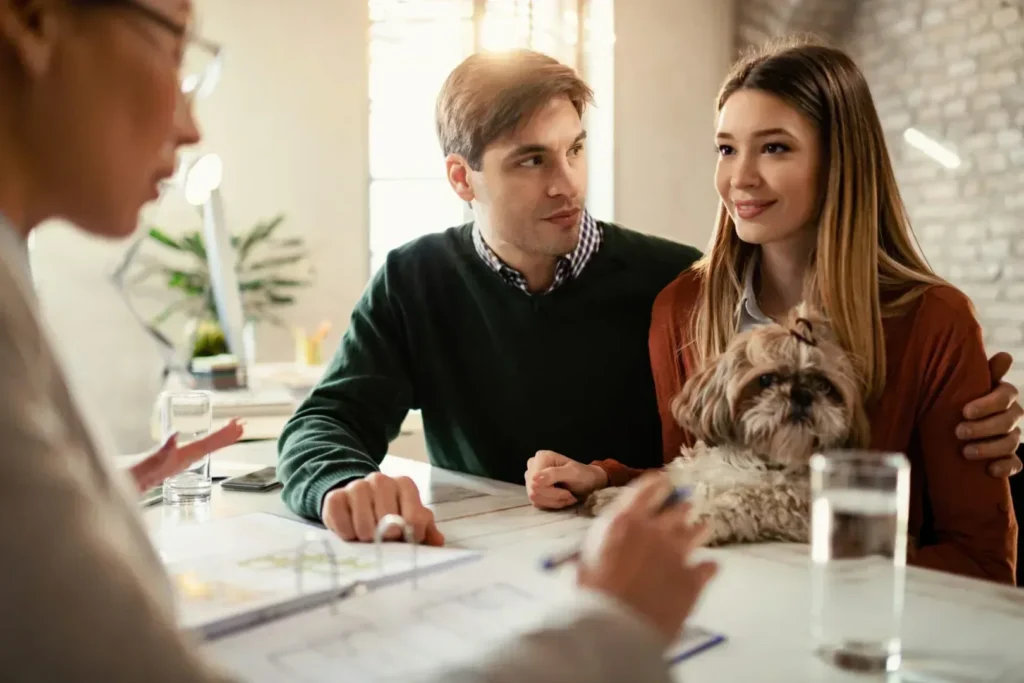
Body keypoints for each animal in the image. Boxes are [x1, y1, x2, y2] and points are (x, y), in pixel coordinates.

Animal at [585, 307, 864, 548]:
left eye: (824, 385)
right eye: (766, 379)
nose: (803, 394)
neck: (757, 458)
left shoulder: (800, 506)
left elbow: (745, 500)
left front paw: (695, 516)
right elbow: (669, 479)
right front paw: (615, 497)